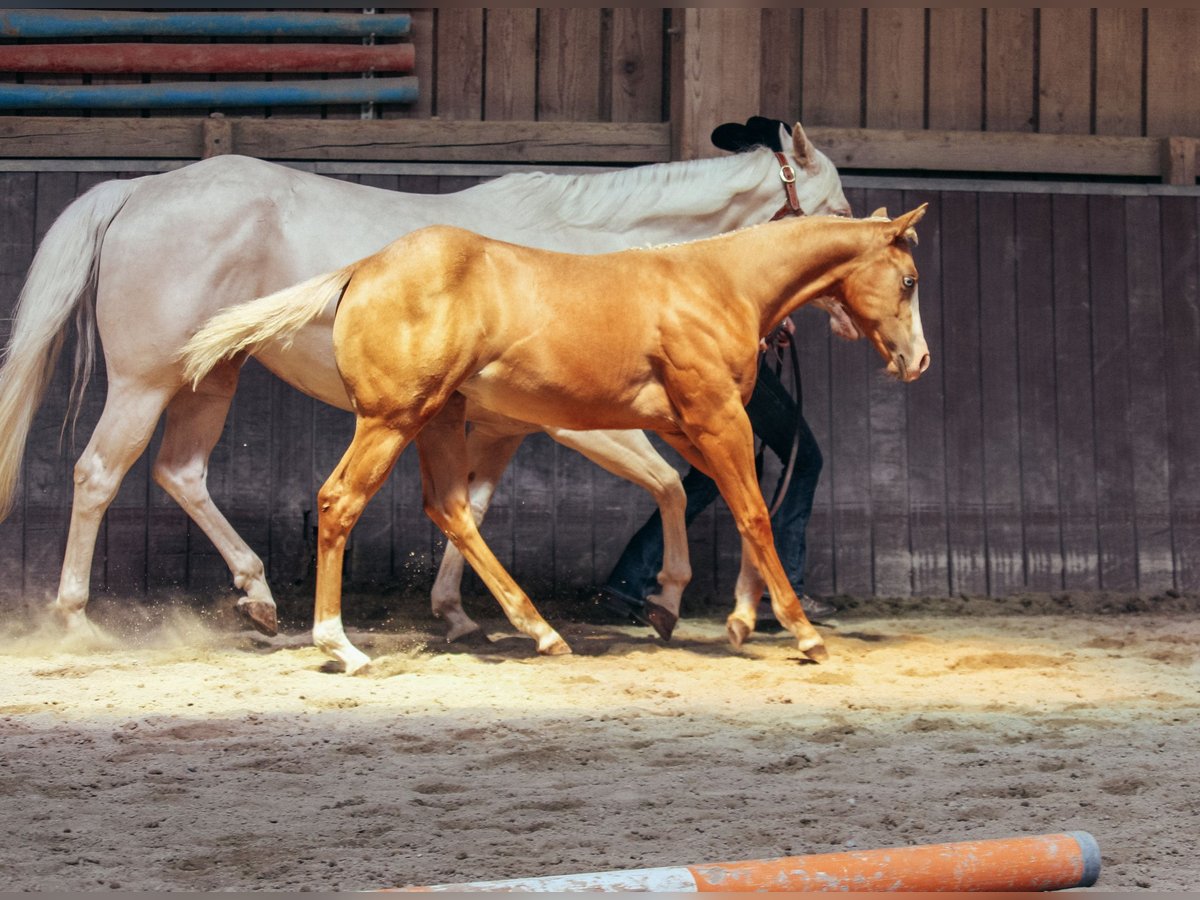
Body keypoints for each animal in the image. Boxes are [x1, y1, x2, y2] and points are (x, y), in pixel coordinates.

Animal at [0, 120, 852, 644]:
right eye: (837, 209)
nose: (849, 315)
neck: (592, 256)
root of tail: (136, 192)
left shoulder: (501, 426)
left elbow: (469, 507)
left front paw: (460, 615)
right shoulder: (577, 423)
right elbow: (670, 485)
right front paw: (665, 601)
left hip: (211, 379)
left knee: (181, 474)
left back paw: (261, 598)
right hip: (143, 382)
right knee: (98, 475)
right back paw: (77, 619)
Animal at [181, 206, 931, 674]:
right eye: (910, 279)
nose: (918, 361)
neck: (719, 285)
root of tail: (361, 269)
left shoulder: (690, 424)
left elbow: (728, 503)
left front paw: (725, 615)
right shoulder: (718, 416)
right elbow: (751, 511)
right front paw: (802, 633)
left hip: (441, 419)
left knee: (450, 508)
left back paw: (537, 630)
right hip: (393, 419)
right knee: (341, 502)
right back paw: (340, 646)